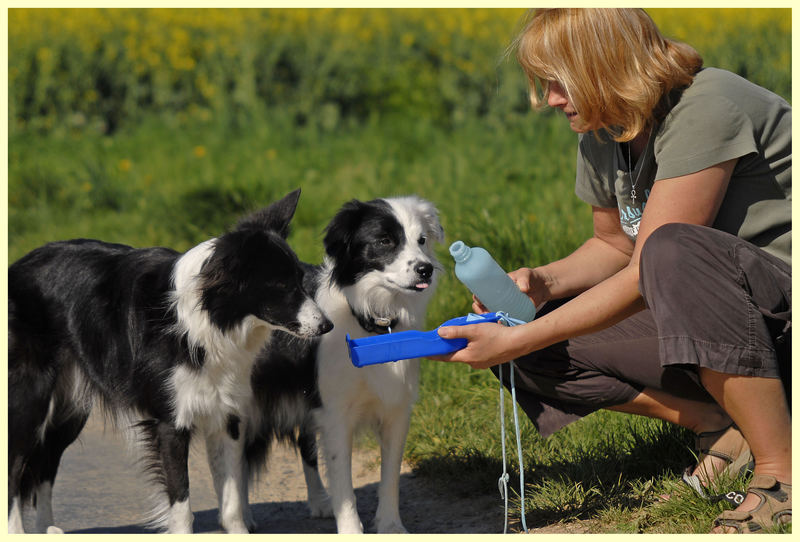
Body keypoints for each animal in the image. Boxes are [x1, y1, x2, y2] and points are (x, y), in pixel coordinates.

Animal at [7, 190, 332, 536]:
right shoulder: (170, 421)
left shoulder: (227, 414)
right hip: (31, 399)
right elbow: (181, 499)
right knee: (15, 466)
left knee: (45, 464)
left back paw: (47, 528)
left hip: (70, 408)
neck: (207, 321)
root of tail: (16, 267)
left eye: (301, 280)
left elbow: (232, 500)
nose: (328, 326)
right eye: (282, 286)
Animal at [250, 197, 444, 536]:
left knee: (305, 446)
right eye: (384, 241)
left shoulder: (396, 410)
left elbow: (390, 475)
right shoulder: (335, 413)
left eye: (421, 240)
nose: (426, 269)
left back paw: (319, 502)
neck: (371, 321)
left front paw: (391, 525)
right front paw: (352, 530)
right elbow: (343, 481)